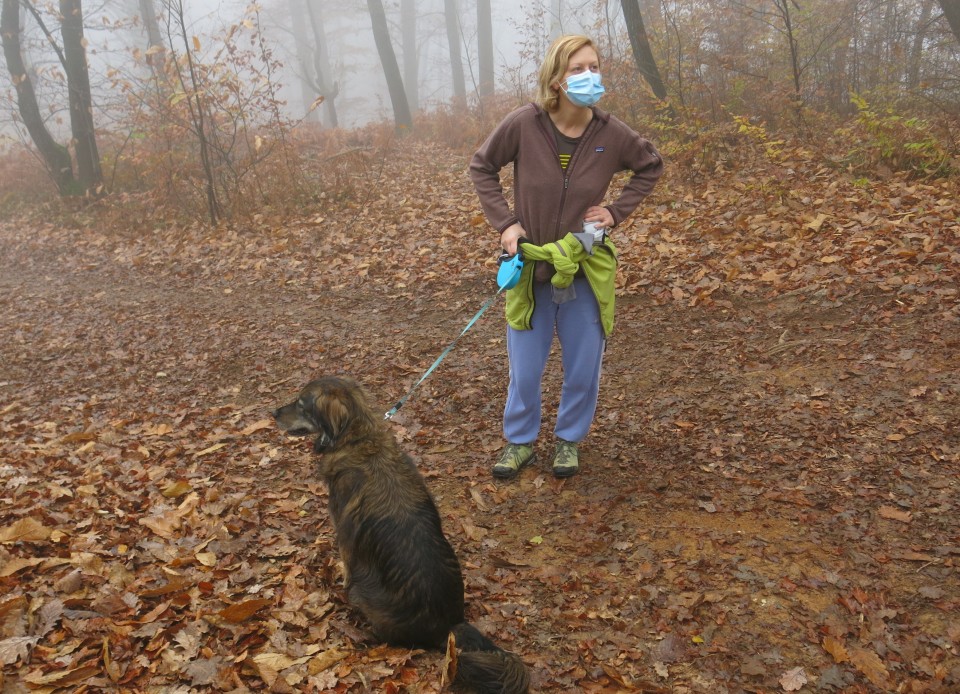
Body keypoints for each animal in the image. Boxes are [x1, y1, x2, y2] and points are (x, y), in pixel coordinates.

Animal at [274, 378, 528, 694]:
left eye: (300, 404)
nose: (273, 413)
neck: (358, 438)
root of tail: (448, 625)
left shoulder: (344, 533)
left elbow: (346, 564)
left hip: (366, 596)